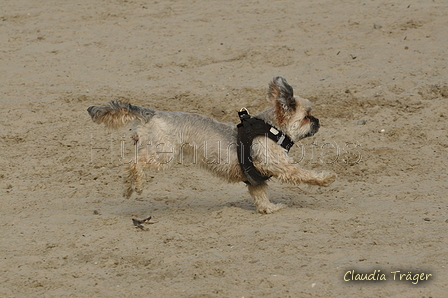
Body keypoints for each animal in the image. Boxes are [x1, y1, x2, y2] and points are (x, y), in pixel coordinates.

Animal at [87, 75, 334, 213]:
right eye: (306, 116)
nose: (318, 121)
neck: (272, 129)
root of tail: (154, 113)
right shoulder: (279, 165)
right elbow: (302, 174)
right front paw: (324, 179)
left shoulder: (255, 179)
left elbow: (261, 197)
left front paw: (269, 209)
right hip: (163, 155)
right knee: (134, 162)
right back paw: (137, 184)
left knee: (130, 164)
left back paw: (128, 188)